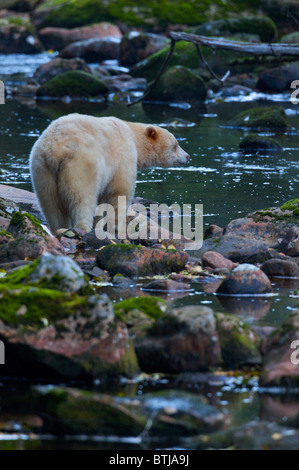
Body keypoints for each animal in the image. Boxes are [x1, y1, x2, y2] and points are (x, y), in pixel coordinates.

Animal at [29, 113, 191, 232]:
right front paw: (117, 226)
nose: (188, 156)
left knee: (51, 204)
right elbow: (119, 193)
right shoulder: (123, 157)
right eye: (176, 145)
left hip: (42, 170)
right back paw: (82, 227)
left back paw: (59, 227)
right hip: (81, 165)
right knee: (82, 198)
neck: (133, 136)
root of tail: (55, 149)